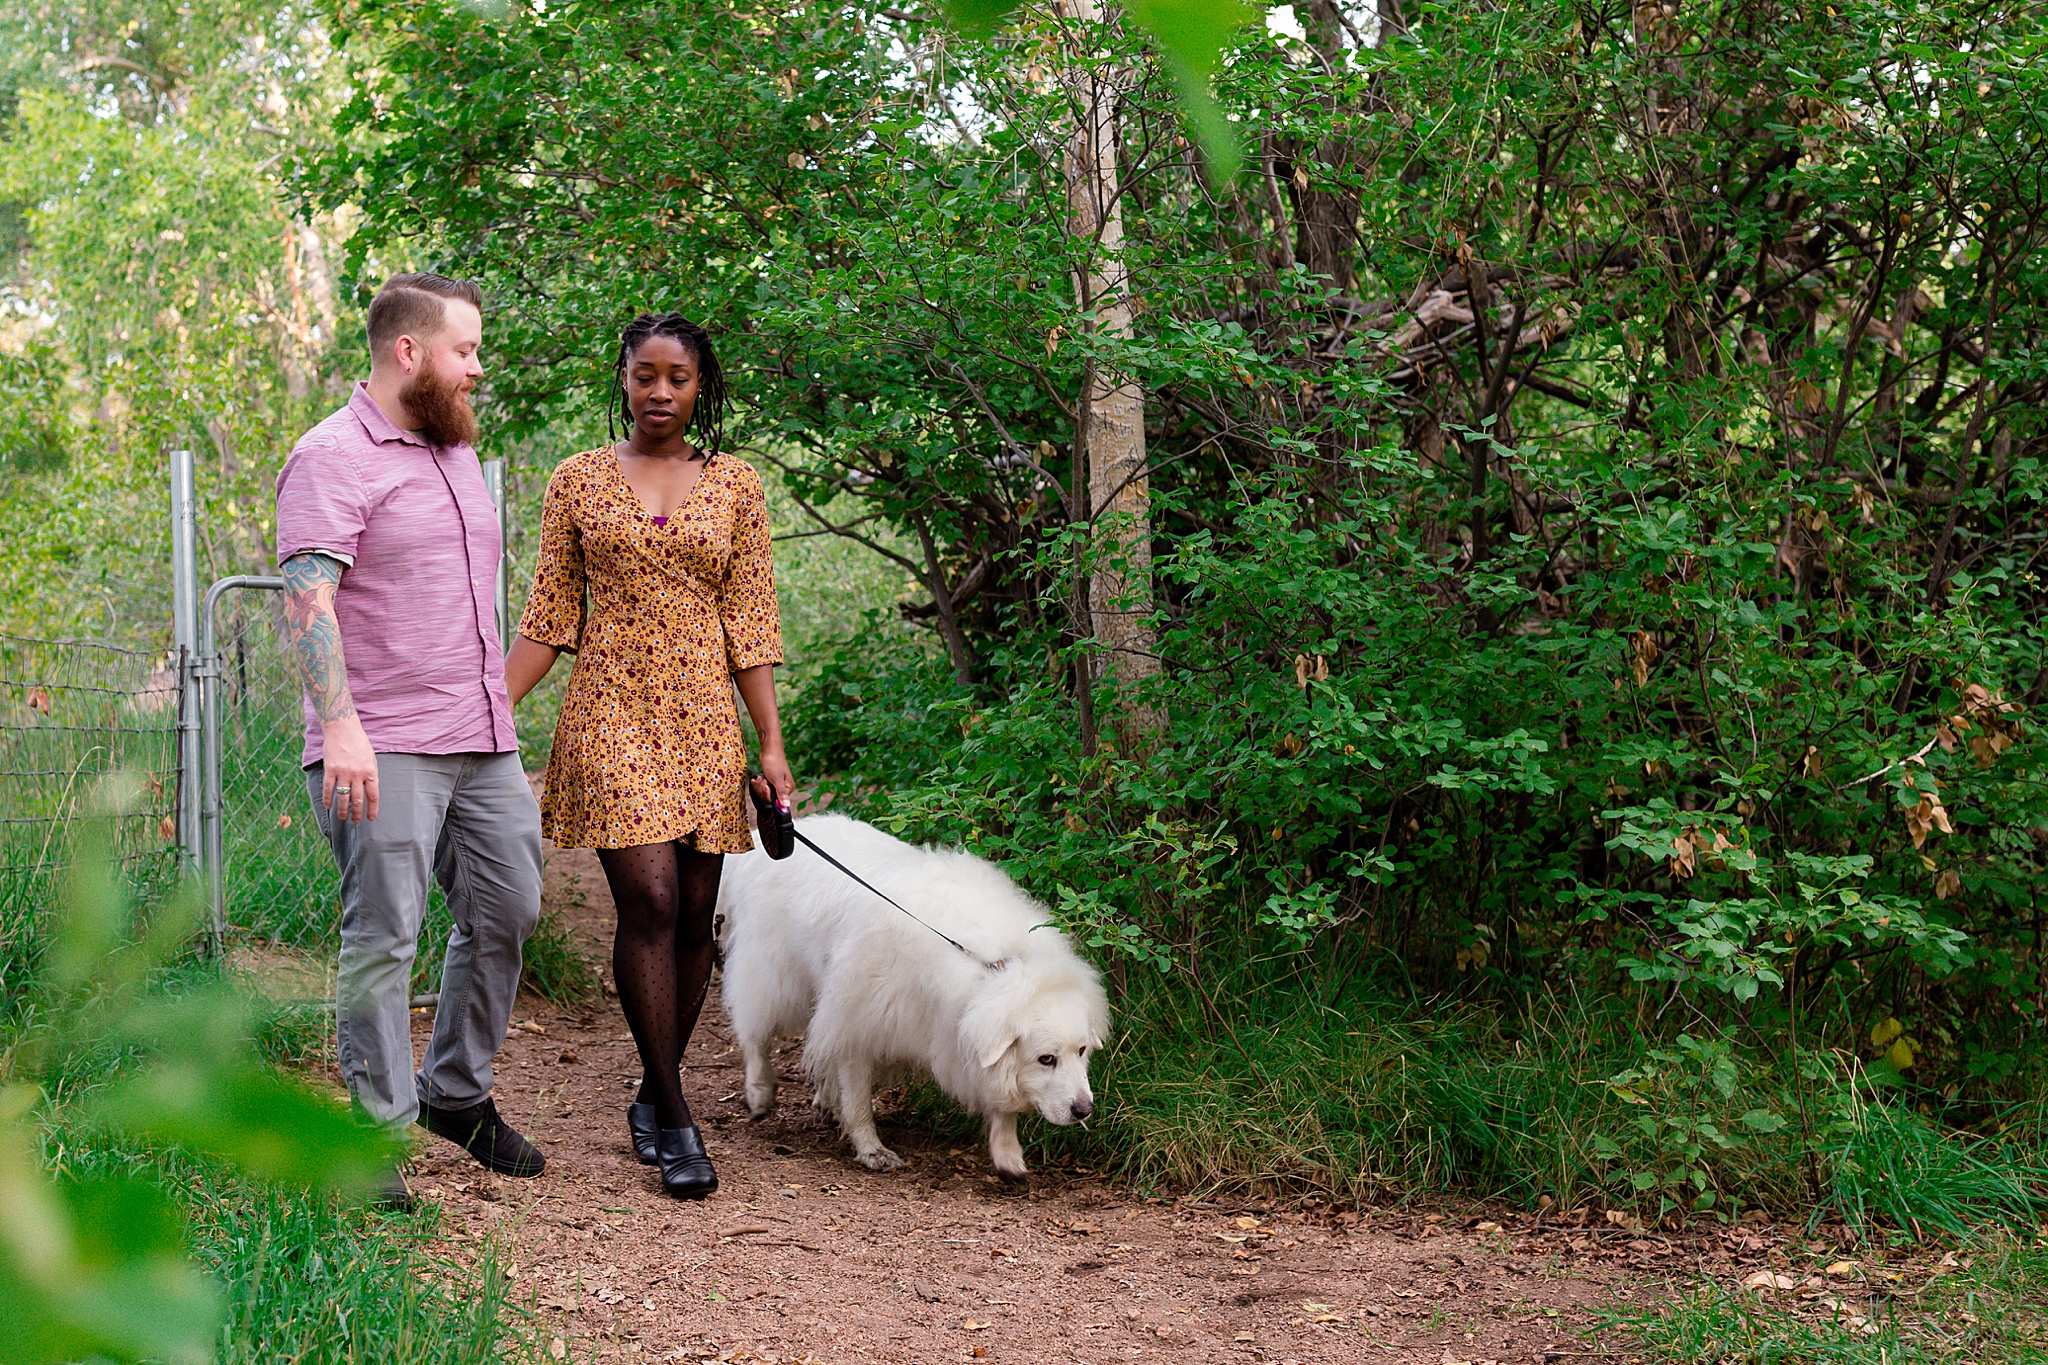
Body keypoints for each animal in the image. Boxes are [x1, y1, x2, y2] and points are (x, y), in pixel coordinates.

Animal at [716, 810, 1114, 1186]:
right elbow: (858, 1098)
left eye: (1081, 1051)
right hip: (772, 975)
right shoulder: (857, 1023)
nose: (1084, 1110)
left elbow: (999, 1099)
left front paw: (1007, 1155)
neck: (991, 967)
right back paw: (760, 1092)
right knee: (754, 1035)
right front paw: (871, 1150)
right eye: (1046, 1059)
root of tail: (758, 843)